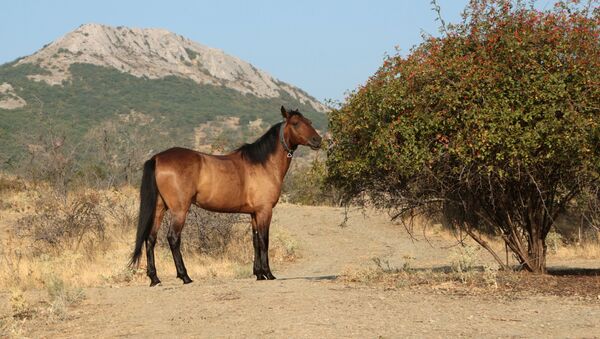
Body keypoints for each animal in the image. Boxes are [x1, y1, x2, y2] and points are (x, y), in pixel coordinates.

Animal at [129, 107, 322, 286]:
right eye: (295, 123)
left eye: (309, 121)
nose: (317, 140)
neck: (263, 164)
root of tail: (157, 158)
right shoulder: (264, 211)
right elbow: (264, 240)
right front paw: (268, 274)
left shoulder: (254, 213)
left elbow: (255, 241)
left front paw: (259, 274)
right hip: (179, 210)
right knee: (173, 238)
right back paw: (185, 277)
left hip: (159, 208)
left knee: (150, 238)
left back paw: (155, 278)